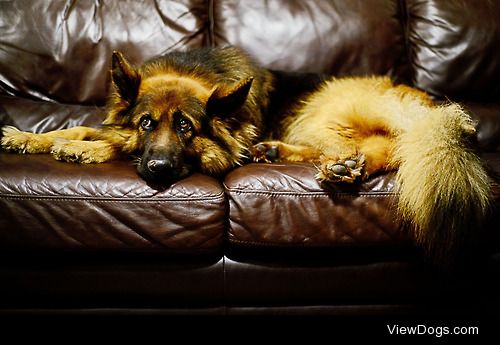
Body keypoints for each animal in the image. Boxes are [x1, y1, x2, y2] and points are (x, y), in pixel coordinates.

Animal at [0, 46, 492, 264]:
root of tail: (433, 107)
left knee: (383, 147)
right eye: (146, 123)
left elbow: (104, 140)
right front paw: (29, 137)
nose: (158, 170)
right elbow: (87, 126)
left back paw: (342, 167)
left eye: (186, 127)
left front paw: (78, 149)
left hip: (321, 111)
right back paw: (286, 153)